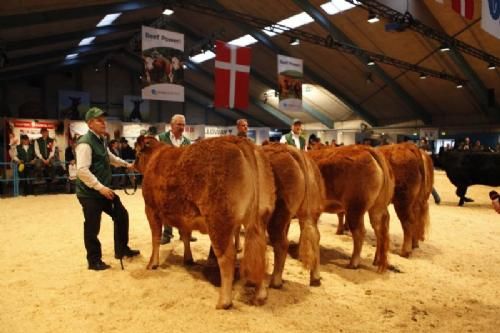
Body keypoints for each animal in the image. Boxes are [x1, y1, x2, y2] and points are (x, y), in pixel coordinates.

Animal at [133, 135, 276, 308]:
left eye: (136, 152)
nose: (132, 165)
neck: (155, 157)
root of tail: (237, 139)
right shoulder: (184, 216)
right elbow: (185, 236)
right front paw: (188, 259)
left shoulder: (151, 209)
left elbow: (155, 238)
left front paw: (152, 264)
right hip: (260, 218)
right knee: (259, 252)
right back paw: (260, 294)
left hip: (219, 221)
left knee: (227, 257)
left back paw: (224, 301)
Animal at [260, 144, 326, 286]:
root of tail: (292, 150)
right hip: (310, 212)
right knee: (315, 236)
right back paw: (315, 278)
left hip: (277, 216)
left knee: (282, 243)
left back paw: (276, 281)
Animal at [308, 144, 394, 272]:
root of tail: (366, 148)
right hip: (376, 208)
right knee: (381, 231)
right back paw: (378, 262)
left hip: (355, 208)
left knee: (360, 232)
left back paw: (353, 263)